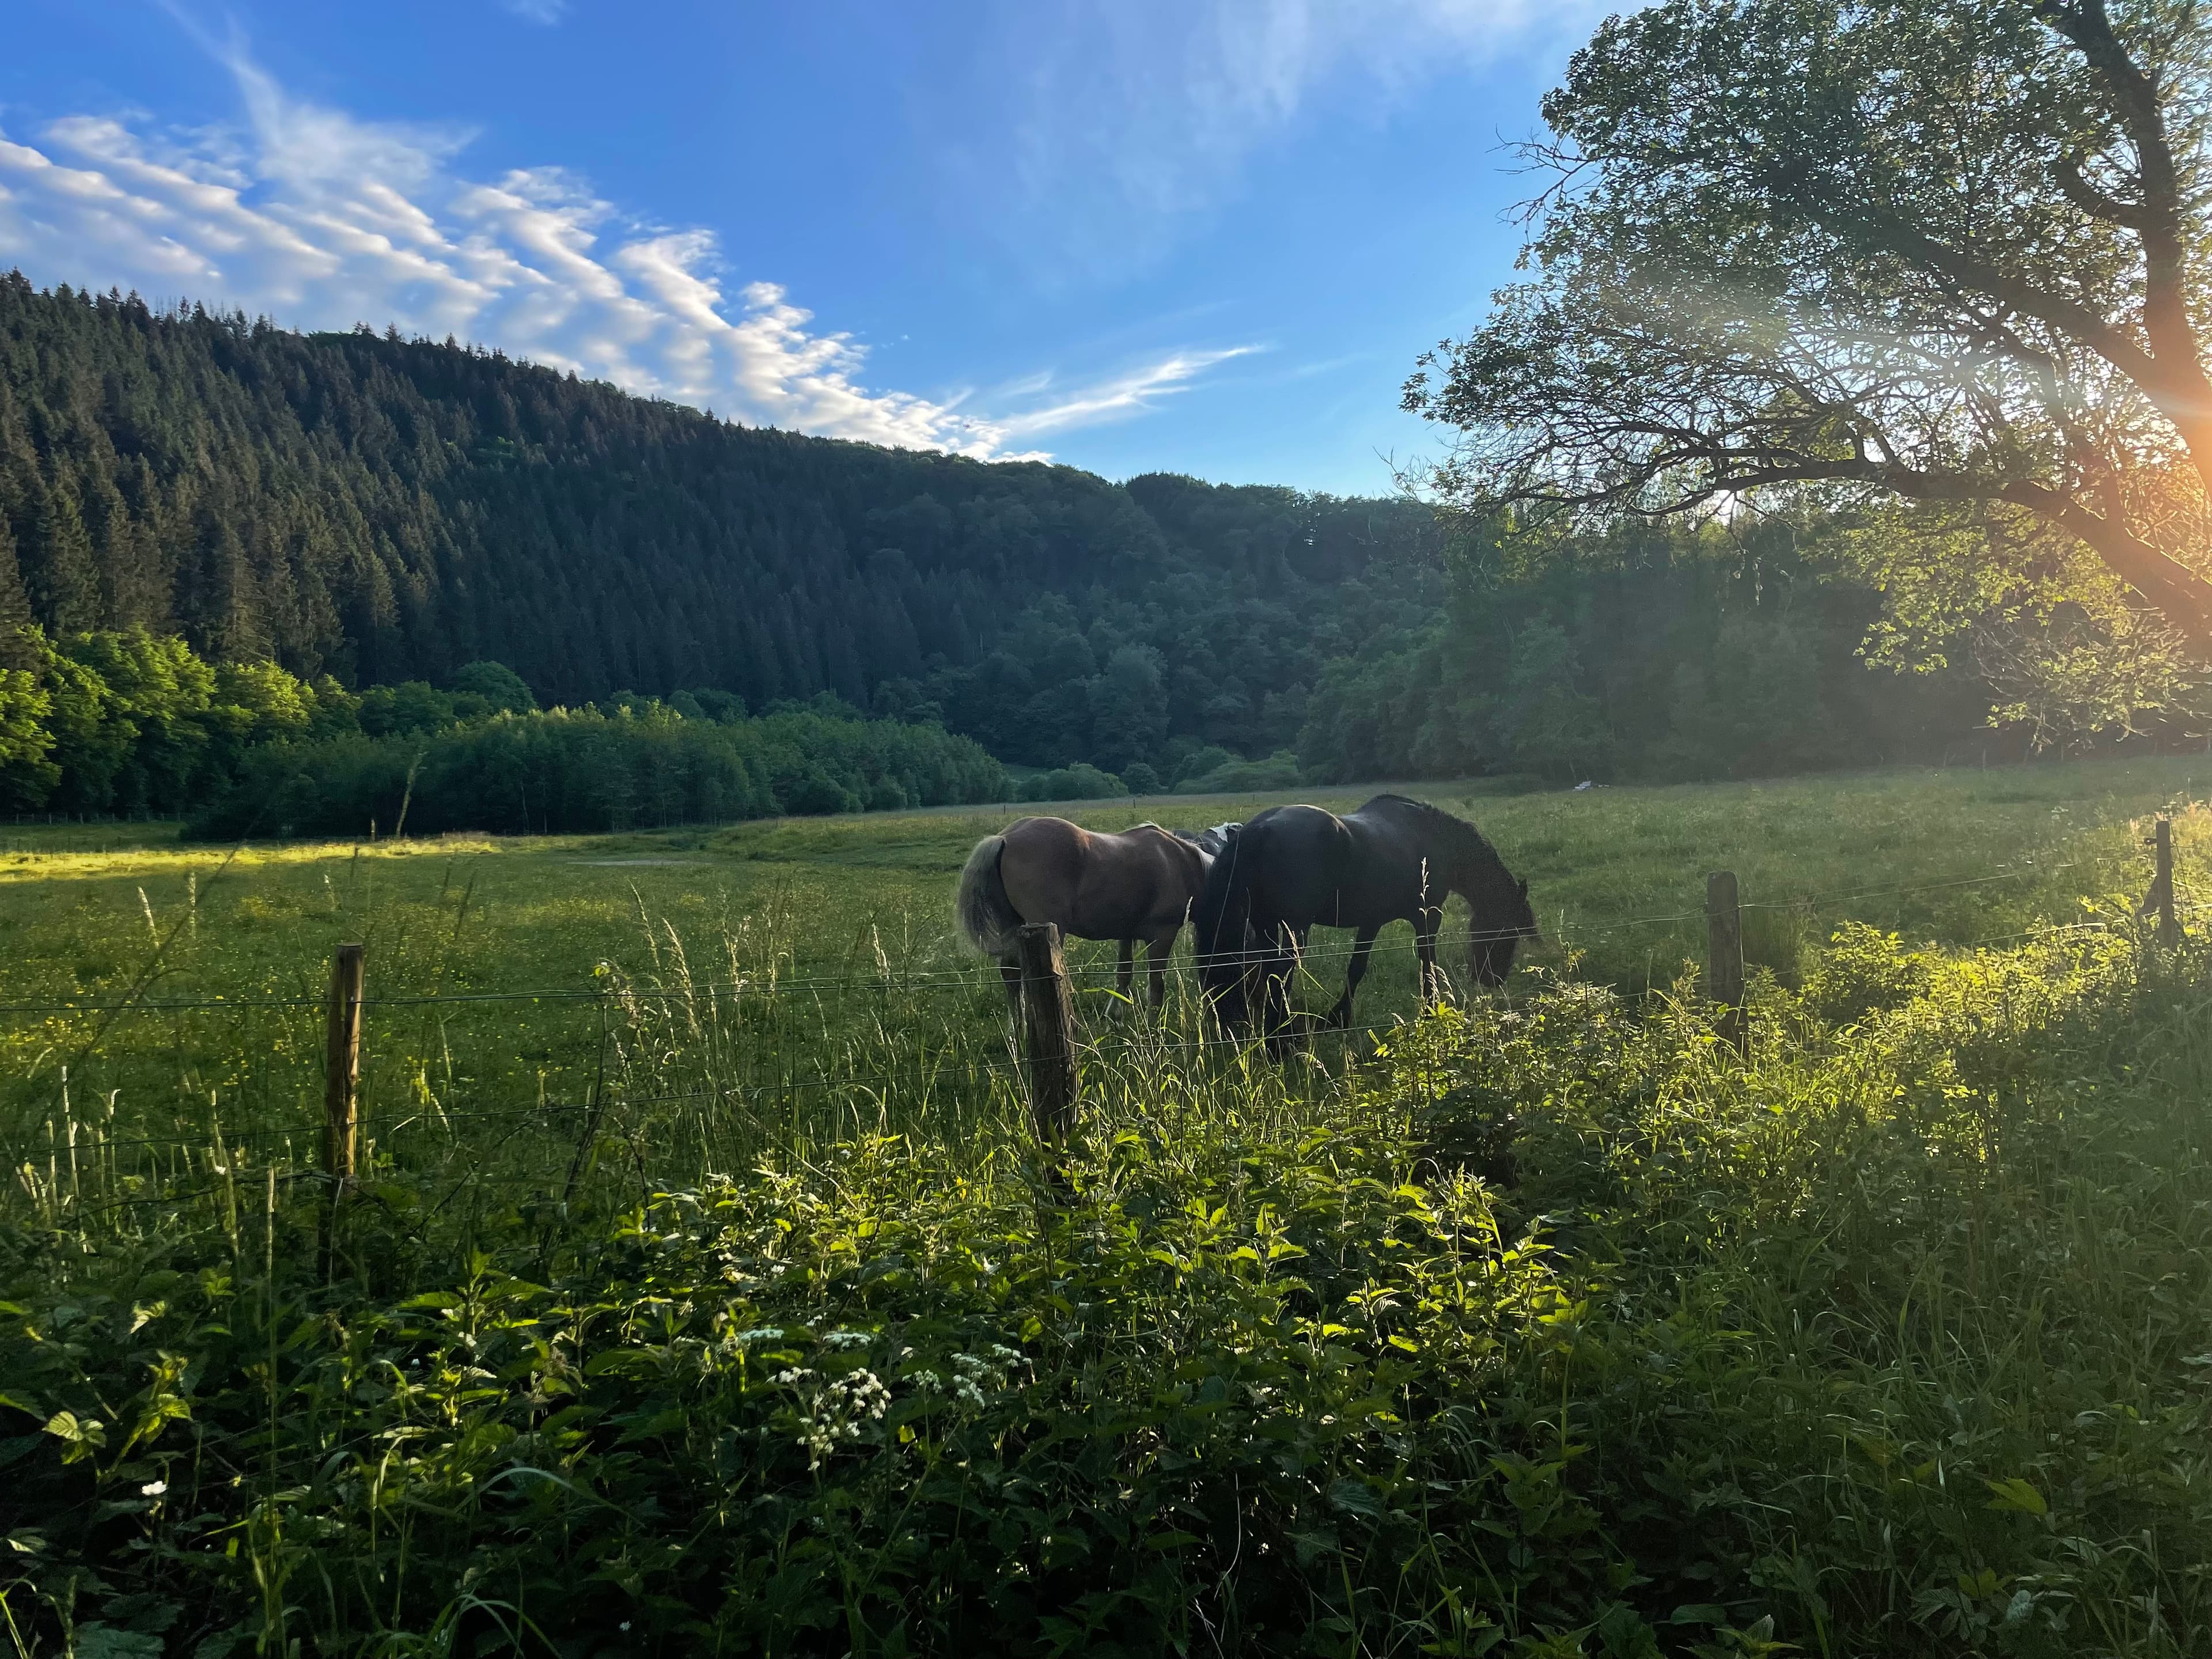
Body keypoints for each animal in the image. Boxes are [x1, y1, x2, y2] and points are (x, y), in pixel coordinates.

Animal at [955, 818, 1230, 1013]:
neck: (1184, 864)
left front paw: (1116, 1018)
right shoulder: (1162, 936)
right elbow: (1156, 985)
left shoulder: (1127, 934)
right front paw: (1154, 1025)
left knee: (1011, 975)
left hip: (1013, 928)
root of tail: (1004, 838)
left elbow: (1124, 975)